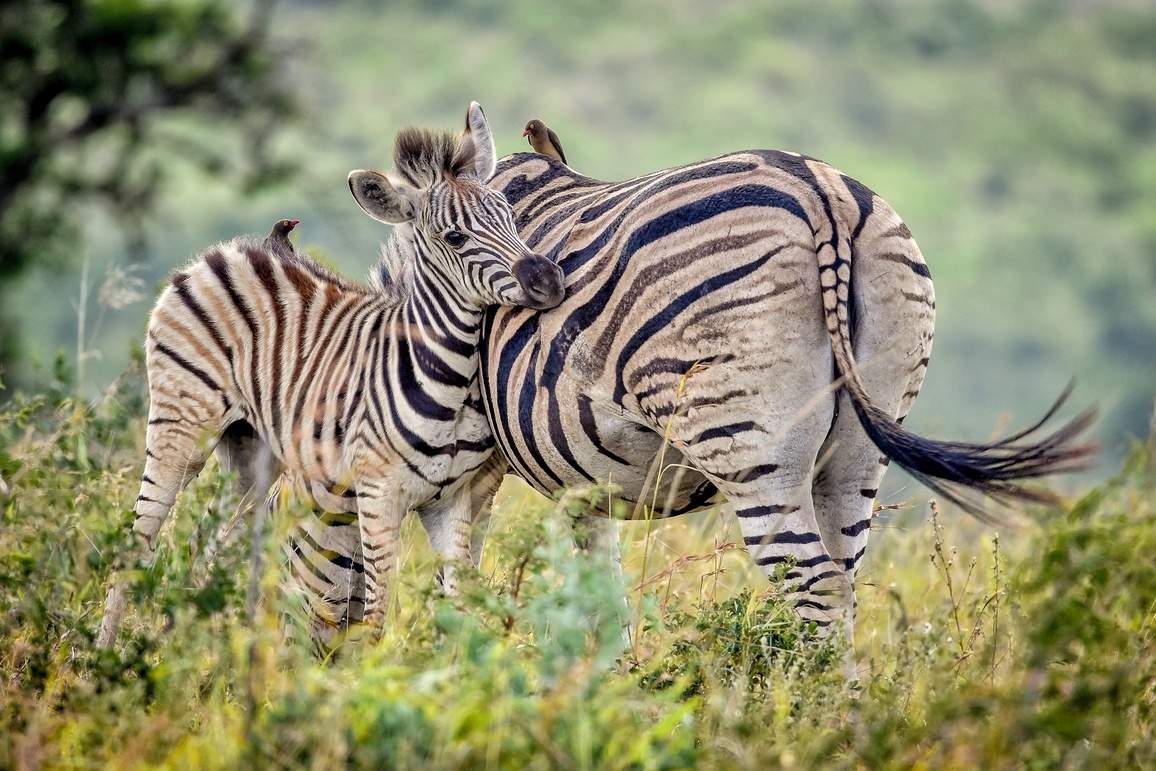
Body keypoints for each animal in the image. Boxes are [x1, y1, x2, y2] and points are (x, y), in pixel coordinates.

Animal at [95, 101, 564, 647]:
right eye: (455, 236)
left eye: (510, 215)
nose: (548, 279)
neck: (447, 377)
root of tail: (226, 252)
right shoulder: (378, 496)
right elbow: (378, 614)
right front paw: (373, 669)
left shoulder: (449, 500)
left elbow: (457, 605)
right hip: (182, 428)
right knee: (141, 539)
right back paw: (105, 656)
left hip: (252, 448)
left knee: (212, 542)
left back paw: (200, 646)